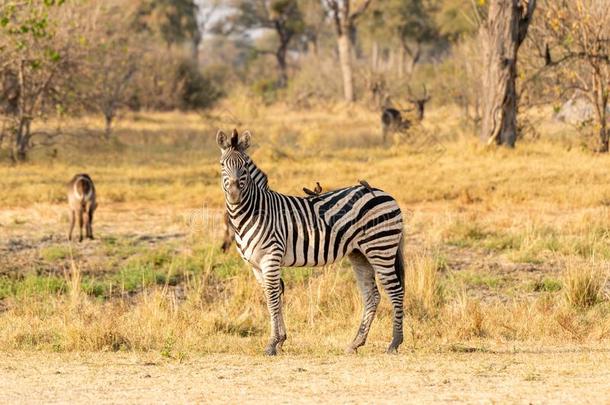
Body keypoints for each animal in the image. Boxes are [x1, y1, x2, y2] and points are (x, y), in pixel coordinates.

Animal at [215, 129, 404, 354]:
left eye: (244, 165)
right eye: (222, 164)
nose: (234, 194)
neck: (254, 211)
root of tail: (388, 195)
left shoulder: (271, 257)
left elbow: (272, 298)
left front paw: (272, 343)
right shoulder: (255, 265)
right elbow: (272, 297)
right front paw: (280, 340)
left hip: (381, 247)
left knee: (396, 290)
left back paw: (394, 343)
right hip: (360, 253)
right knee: (372, 296)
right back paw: (355, 343)